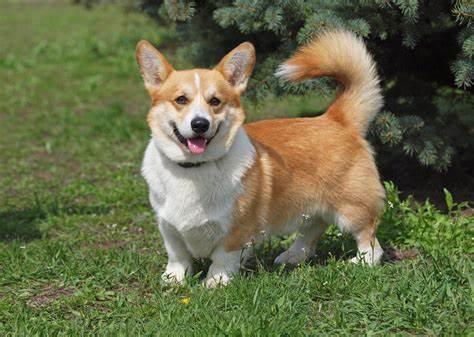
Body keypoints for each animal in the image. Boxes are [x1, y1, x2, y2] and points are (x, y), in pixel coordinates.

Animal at [136, 30, 386, 286]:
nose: (200, 124)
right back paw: (293, 256)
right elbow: (177, 255)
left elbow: (222, 258)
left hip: (351, 207)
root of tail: (336, 118)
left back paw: (362, 262)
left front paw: (216, 282)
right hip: (311, 206)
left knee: (369, 237)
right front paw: (173, 279)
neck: (194, 169)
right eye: (181, 100)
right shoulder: (168, 226)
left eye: (215, 101)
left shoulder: (236, 230)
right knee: (314, 227)